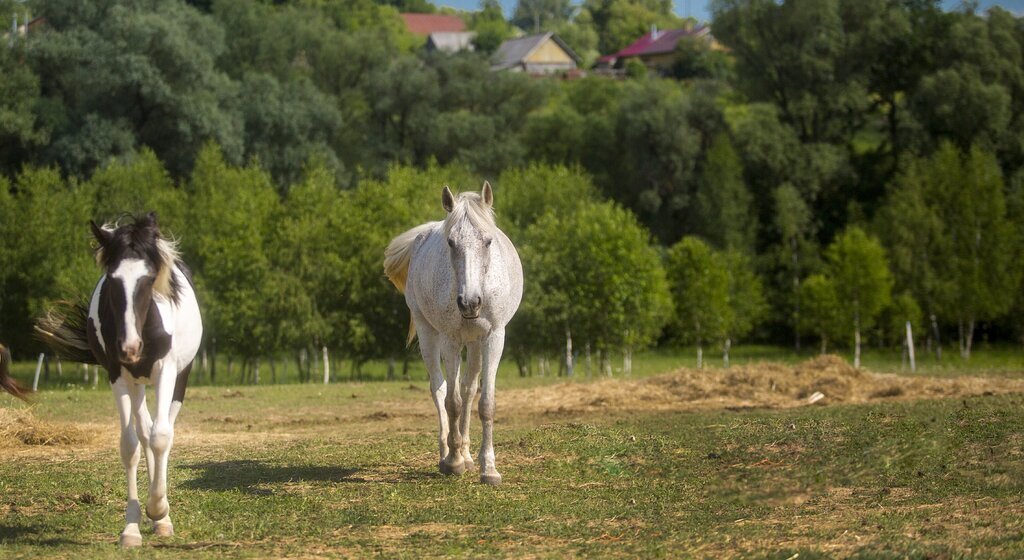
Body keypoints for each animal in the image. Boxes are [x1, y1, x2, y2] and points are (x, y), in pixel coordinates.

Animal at [387, 182, 524, 485]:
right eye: (450, 242)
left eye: (488, 241)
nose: (470, 302)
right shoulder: (449, 339)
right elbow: (452, 402)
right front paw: (453, 461)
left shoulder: (494, 337)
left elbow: (484, 402)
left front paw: (489, 468)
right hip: (429, 334)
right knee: (439, 389)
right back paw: (447, 453)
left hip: (472, 343)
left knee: (468, 388)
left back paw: (468, 454)